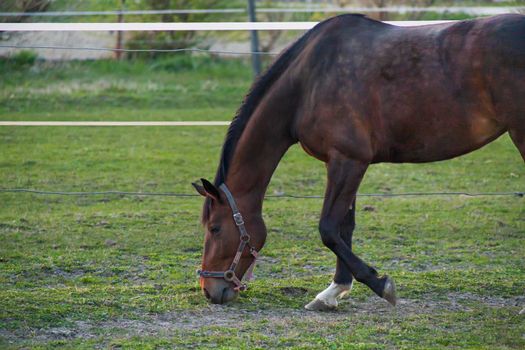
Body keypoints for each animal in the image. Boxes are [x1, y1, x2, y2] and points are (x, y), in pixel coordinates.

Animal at [192, 14, 524, 308]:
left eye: (215, 229)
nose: (210, 289)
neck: (309, 83)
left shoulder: (348, 161)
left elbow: (328, 228)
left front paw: (379, 284)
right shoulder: (342, 162)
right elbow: (344, 227)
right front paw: (333, 291)